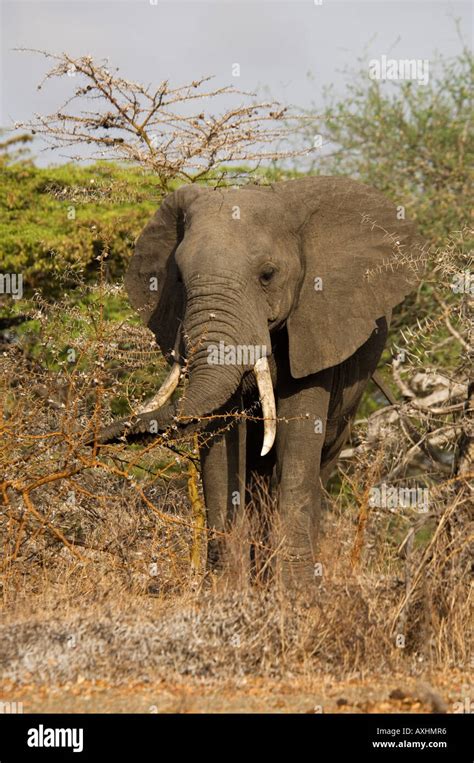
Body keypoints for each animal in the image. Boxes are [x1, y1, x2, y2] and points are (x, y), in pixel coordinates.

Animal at [105, 179, 424, 592]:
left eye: (267, 275)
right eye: (179, 279)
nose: (88, 440)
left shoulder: (317, 324)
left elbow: (299, 439)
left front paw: (297, 594)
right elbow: (220, 442)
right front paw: (225, 591)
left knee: (318, 465)